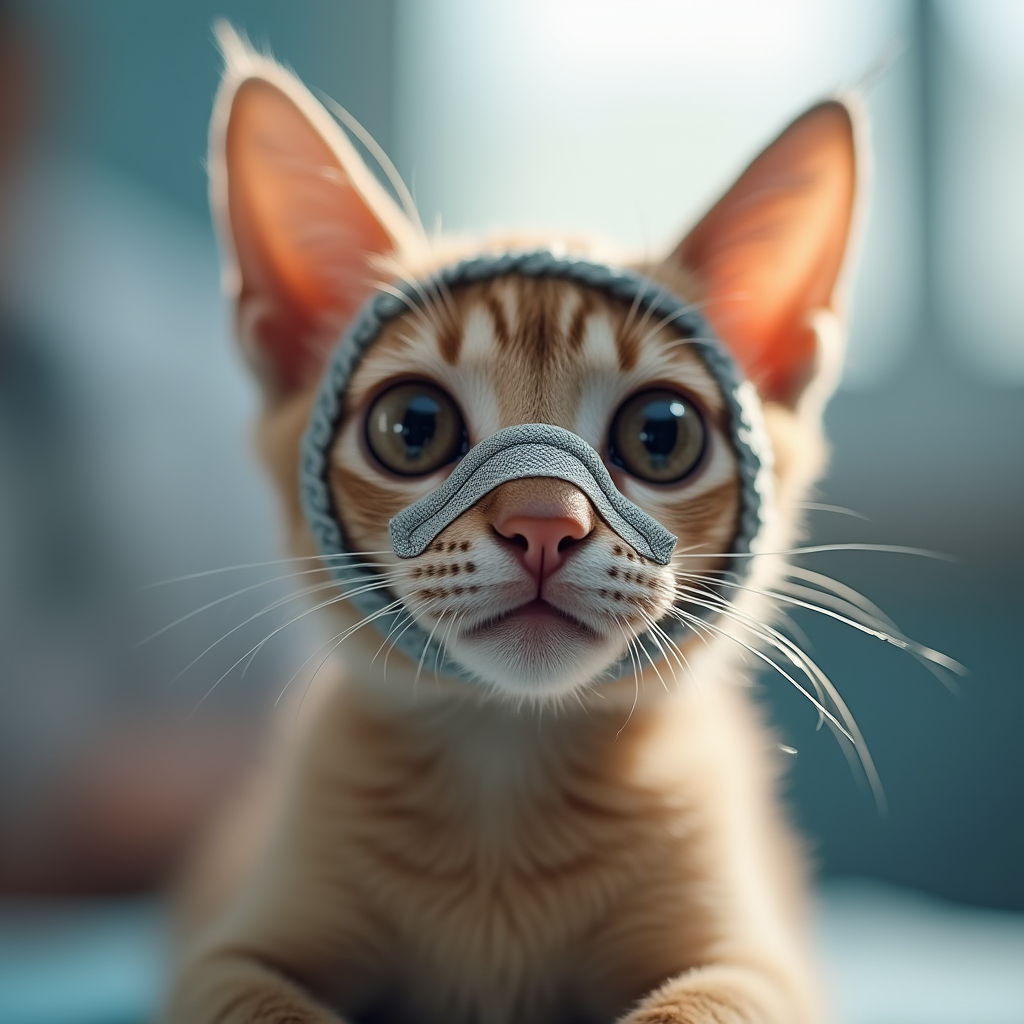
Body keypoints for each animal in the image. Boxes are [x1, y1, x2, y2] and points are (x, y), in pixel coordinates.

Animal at [161, 28, 872, 1024]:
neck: (505, 765)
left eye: (662, 434)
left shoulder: (759, 967)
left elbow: (697, 1005)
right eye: (413, 426)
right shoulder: (222, 956)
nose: (545, 521)